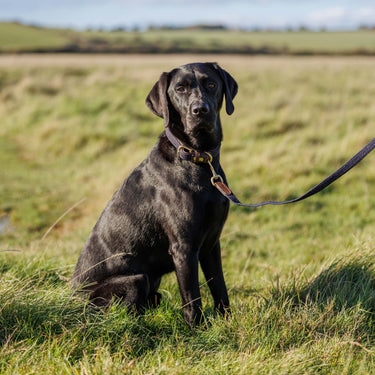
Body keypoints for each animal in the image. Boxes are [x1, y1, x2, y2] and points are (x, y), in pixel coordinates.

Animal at [71, 61, 238, 326]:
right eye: (180, 88)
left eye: (211, 84)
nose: (200, 110)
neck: (197, 159)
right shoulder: (184, 248)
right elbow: (192, 298)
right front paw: (196, 331)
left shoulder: (211, 243)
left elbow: (219, 288)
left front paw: (227, 323)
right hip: (136, 279)